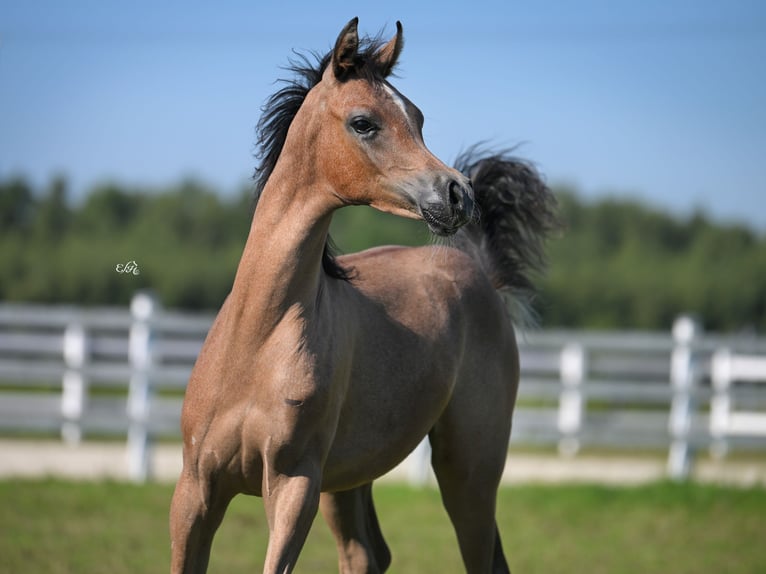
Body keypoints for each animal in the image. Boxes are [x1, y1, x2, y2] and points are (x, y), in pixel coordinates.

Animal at [170, 18, 557, 574]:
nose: (458, 194)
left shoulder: (293, 487)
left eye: (417, 117)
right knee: (368, 553)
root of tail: (477, 269)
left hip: (469, 469)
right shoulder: (195, 491)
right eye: (363, 123)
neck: (257, 341)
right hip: (350, 481)